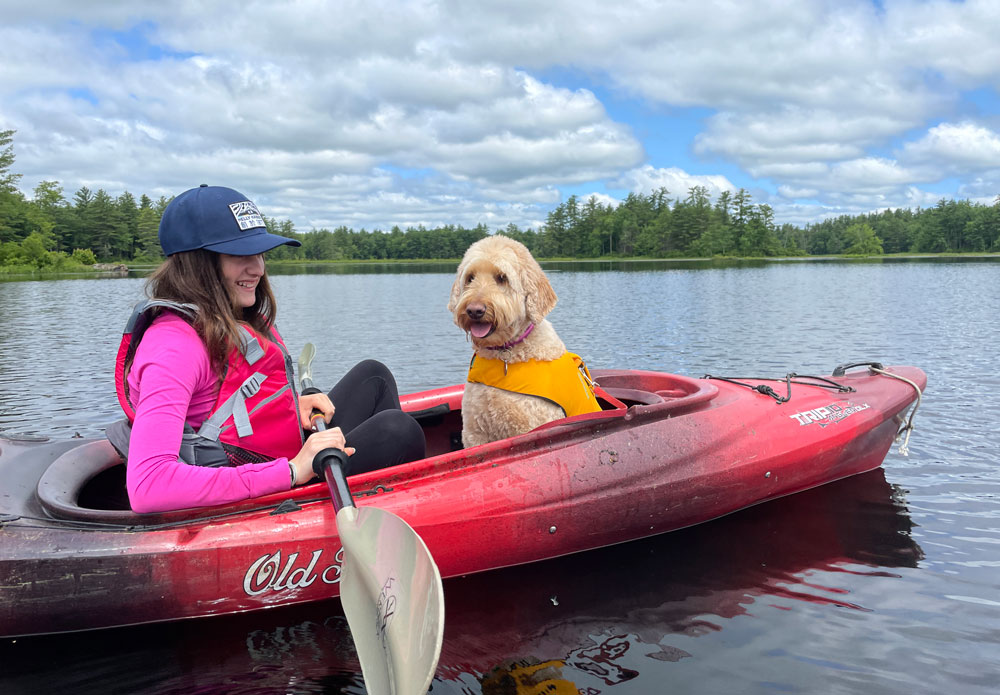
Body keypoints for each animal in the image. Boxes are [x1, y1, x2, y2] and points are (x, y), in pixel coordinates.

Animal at [452, 237, 600, 448]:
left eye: (502, 277)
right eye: (470, 278)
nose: (474, 310)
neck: (505, 355)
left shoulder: (533, 425)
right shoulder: (475, 432)